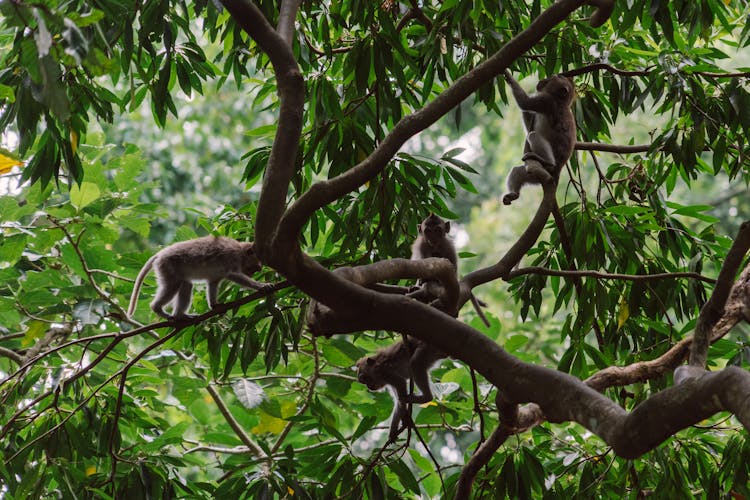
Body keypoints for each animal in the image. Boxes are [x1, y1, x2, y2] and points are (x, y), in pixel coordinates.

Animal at [128, 235, 272, 320]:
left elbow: (213, 282)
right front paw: (261, 286)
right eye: (255, 269)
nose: (252, 275)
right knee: (173, 285)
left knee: (186, 284)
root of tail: (160, 254)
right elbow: (233, 275)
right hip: (167, 265)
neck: (240, 252)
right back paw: (157, 308)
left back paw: (180, 315)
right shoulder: (232, 257)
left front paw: (215, 305)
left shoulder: (218, 274)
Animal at [502, 70, 580, 205]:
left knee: (533, 136)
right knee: (517, 171)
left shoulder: (546, 101)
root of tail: (557, 171)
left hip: (551, 168)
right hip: (534, 175)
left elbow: (525, 103)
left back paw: (549, 163)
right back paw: (514, 194)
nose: (542, 80)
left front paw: (508, 77)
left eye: (554, 78)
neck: (561, 101)